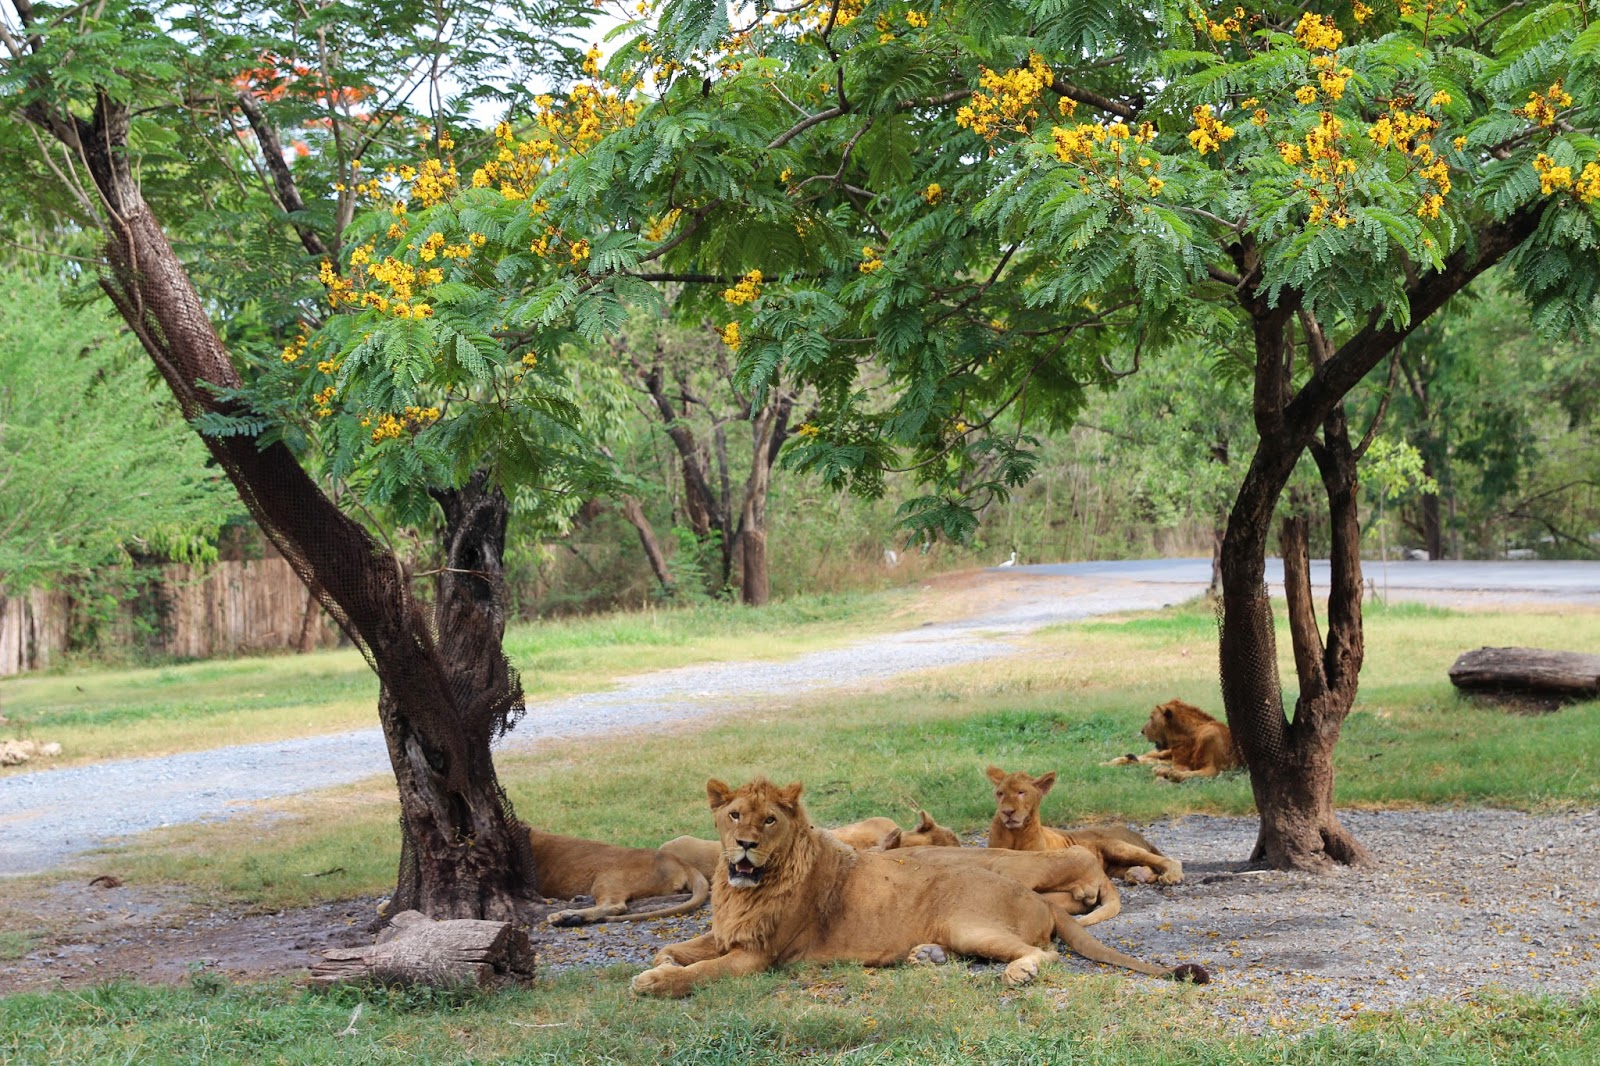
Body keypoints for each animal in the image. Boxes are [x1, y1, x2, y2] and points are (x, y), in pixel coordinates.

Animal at [979, 765, 1184, 877]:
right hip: (1114, 867)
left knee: (1163, 860)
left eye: (1021, 792)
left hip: (1118, 847)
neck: (1015, 833)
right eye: (1000, 794)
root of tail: (1136, 834)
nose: (1007, 812)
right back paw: (1136, 875)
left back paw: (1171, 875)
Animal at [1107, 697, 1241, 781]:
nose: (1142, 731)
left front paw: (1166, 772)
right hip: (1164, 753)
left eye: (1151, 718)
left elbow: (1186, 774)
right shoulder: (1176, 760)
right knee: (1146, 756)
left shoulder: (1210, 768)